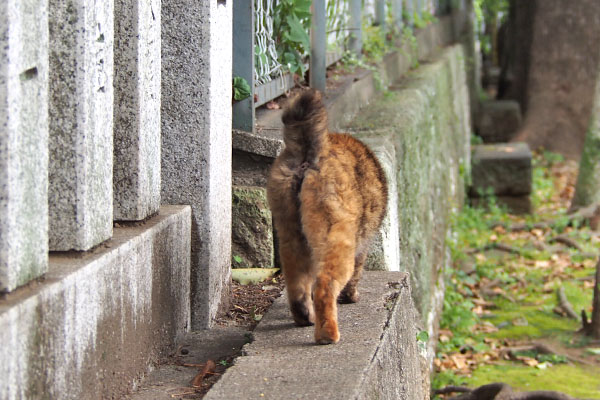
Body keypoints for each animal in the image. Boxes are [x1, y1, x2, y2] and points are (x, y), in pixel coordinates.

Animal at [268, 90, 390, 344]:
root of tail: (309, 155)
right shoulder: (361, 247)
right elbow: (357, 273)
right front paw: (351, 296)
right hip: (336, 235)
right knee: (324, 284)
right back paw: (327, 334)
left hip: (290, 234)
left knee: (297, 285)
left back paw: (305, 317)